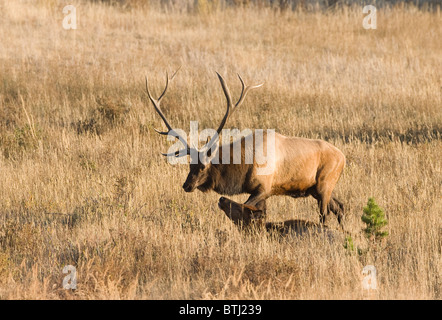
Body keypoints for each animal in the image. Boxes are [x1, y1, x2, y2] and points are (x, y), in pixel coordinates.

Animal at [147, 70, 348, 225]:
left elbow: (246, 209)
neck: (244, 165)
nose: (187, 185)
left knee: (325, 214)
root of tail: (343, 157)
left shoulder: (264, 188)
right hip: (316, 189)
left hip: (324, 184)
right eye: (190, 164)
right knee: (340, 207)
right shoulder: (261, 191)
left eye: (203, 166)